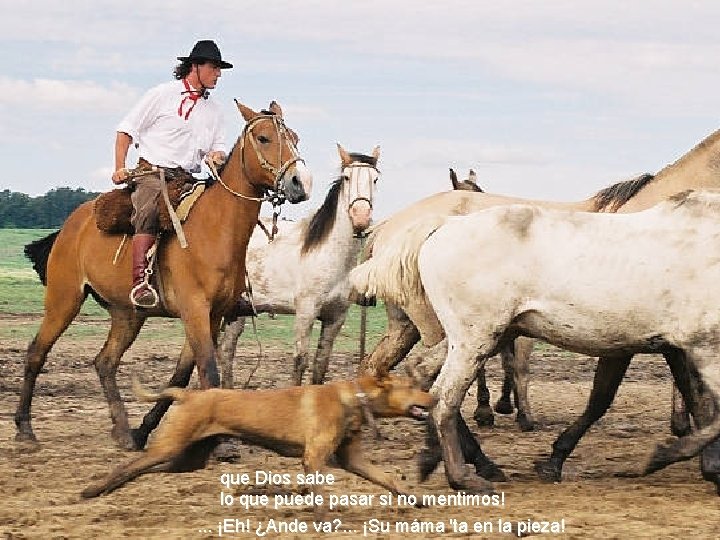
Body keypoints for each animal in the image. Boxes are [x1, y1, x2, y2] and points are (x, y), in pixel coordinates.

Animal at [15, 99, 314, 450]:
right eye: (264, 138)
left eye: (295, 137)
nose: (300, 183)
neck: (215, 229)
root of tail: (72, 223)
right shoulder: (194, 309)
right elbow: (208, 372)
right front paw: (216, 443)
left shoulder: (213, 315)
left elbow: (182, 375)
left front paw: (144, 430)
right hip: (64, 300)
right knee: (37, 352)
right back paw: (25, 428)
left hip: (127, 313)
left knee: (105, 362)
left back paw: (123, 431)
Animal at [81, 374, 436, 516]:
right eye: (412, 386)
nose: (435, 398)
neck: (353, 398)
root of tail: (188, 395)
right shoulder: (313, 459)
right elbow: (320, 492)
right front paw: (323, 517)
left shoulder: (353, 460)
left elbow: (389, 480)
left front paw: (417, 499)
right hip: (169, 447)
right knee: (128, 466)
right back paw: (94, 490)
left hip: (188, 459)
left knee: (143, 471)